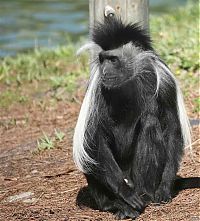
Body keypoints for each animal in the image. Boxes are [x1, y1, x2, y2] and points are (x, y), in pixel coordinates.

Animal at [72, 16, 199, 219]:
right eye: (102, 59)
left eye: (113, 59)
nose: (104, 70)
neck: (129, 80)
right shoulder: (97, 91)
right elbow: (92, 140)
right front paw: (124, 194)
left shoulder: (166, 84)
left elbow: (172, 129)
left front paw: (165, 188)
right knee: (90, 156)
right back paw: (118, 204)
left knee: (150, 123)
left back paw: (144, 195)